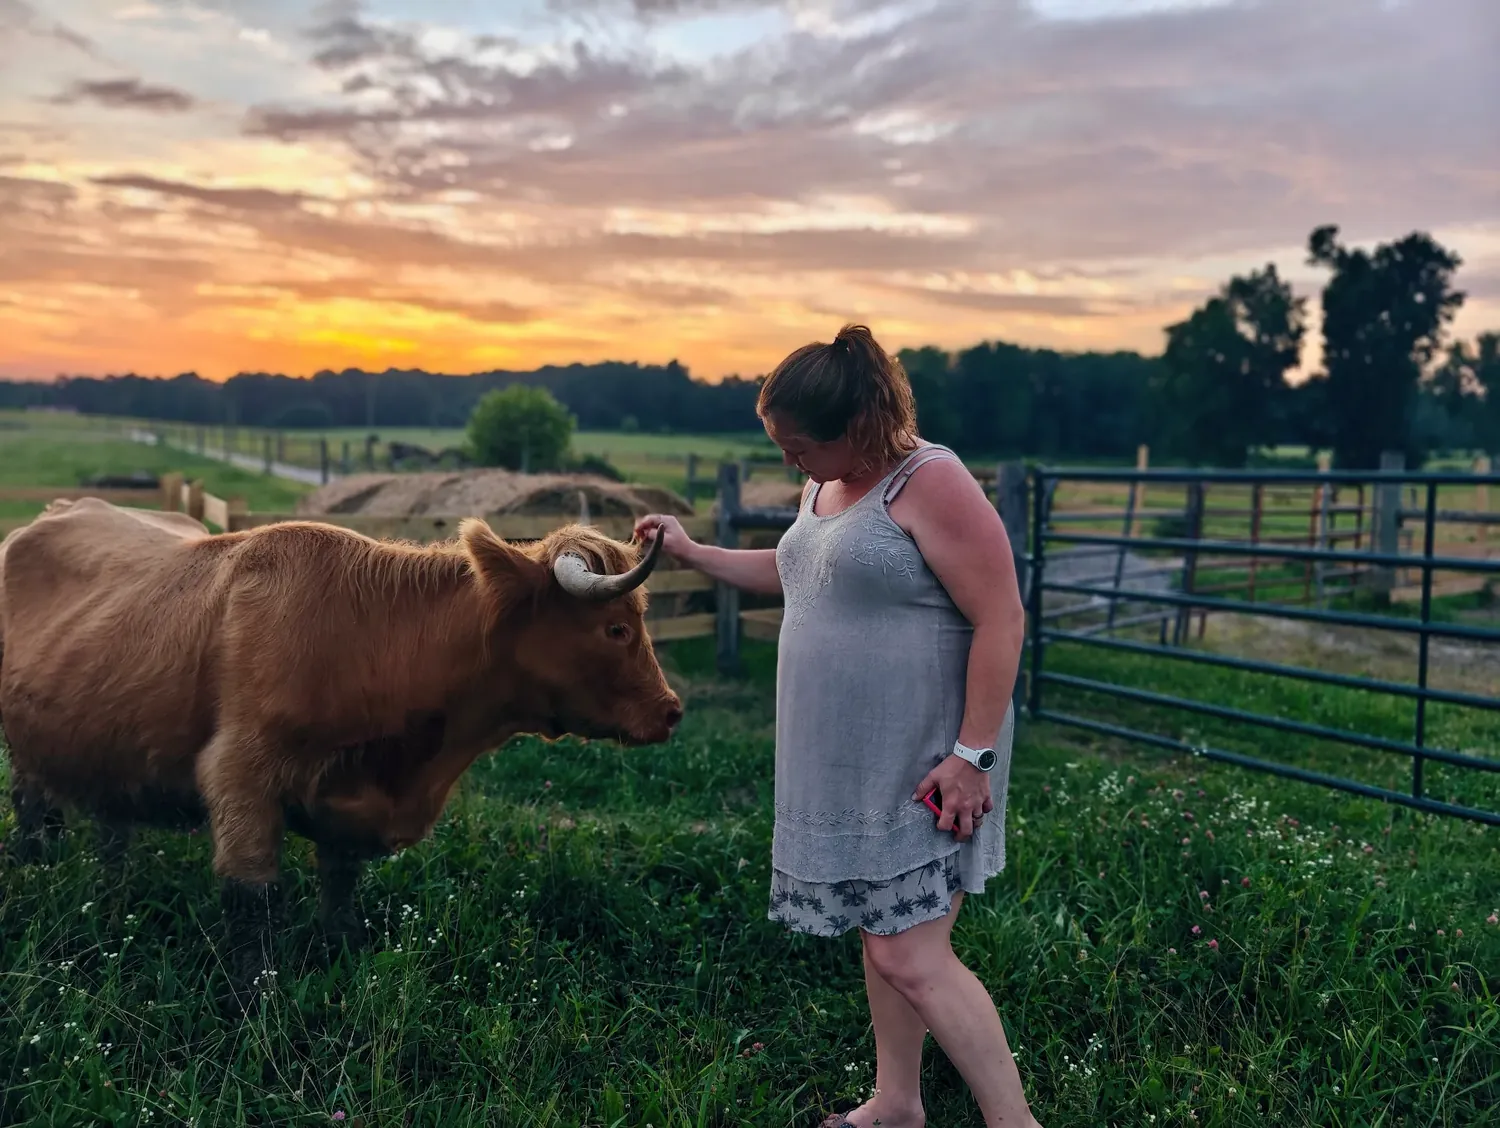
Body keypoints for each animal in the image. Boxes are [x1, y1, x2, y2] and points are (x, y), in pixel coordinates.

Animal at [0, 497, 682, 1004]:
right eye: (616, 628)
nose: (670, 711)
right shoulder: (240, 776)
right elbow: (253, 900)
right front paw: (254, 997)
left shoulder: (350, 804)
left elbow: (341, 883)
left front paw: (343, 951)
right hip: (25, 748)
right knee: (32, 806)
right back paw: (35, 866)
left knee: (110, 826)